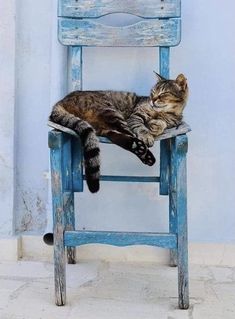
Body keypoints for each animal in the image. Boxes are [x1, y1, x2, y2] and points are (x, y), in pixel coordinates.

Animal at [49, 72, 187, 192]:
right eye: (152, 92)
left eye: (163, 94)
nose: (152, 100)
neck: (163, 112)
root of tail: (60, 101)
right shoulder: (135, 116)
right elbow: (141, 127)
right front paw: (147, 134)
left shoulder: (173, 122)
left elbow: (164, 123)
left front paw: (156, 126)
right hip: (111, 111)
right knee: (128, 134)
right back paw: (144, 150)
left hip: (104, 126)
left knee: (120, 138)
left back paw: (143, 152)